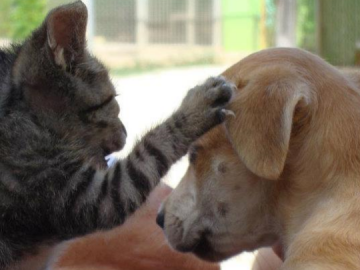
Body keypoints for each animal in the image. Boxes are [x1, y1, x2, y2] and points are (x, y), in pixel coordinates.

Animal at [0, 1, 233, 268]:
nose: (124, 132)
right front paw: (196, 109)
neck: (32, 123)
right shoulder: (83, 197)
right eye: (110, 99)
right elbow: (151, 153)